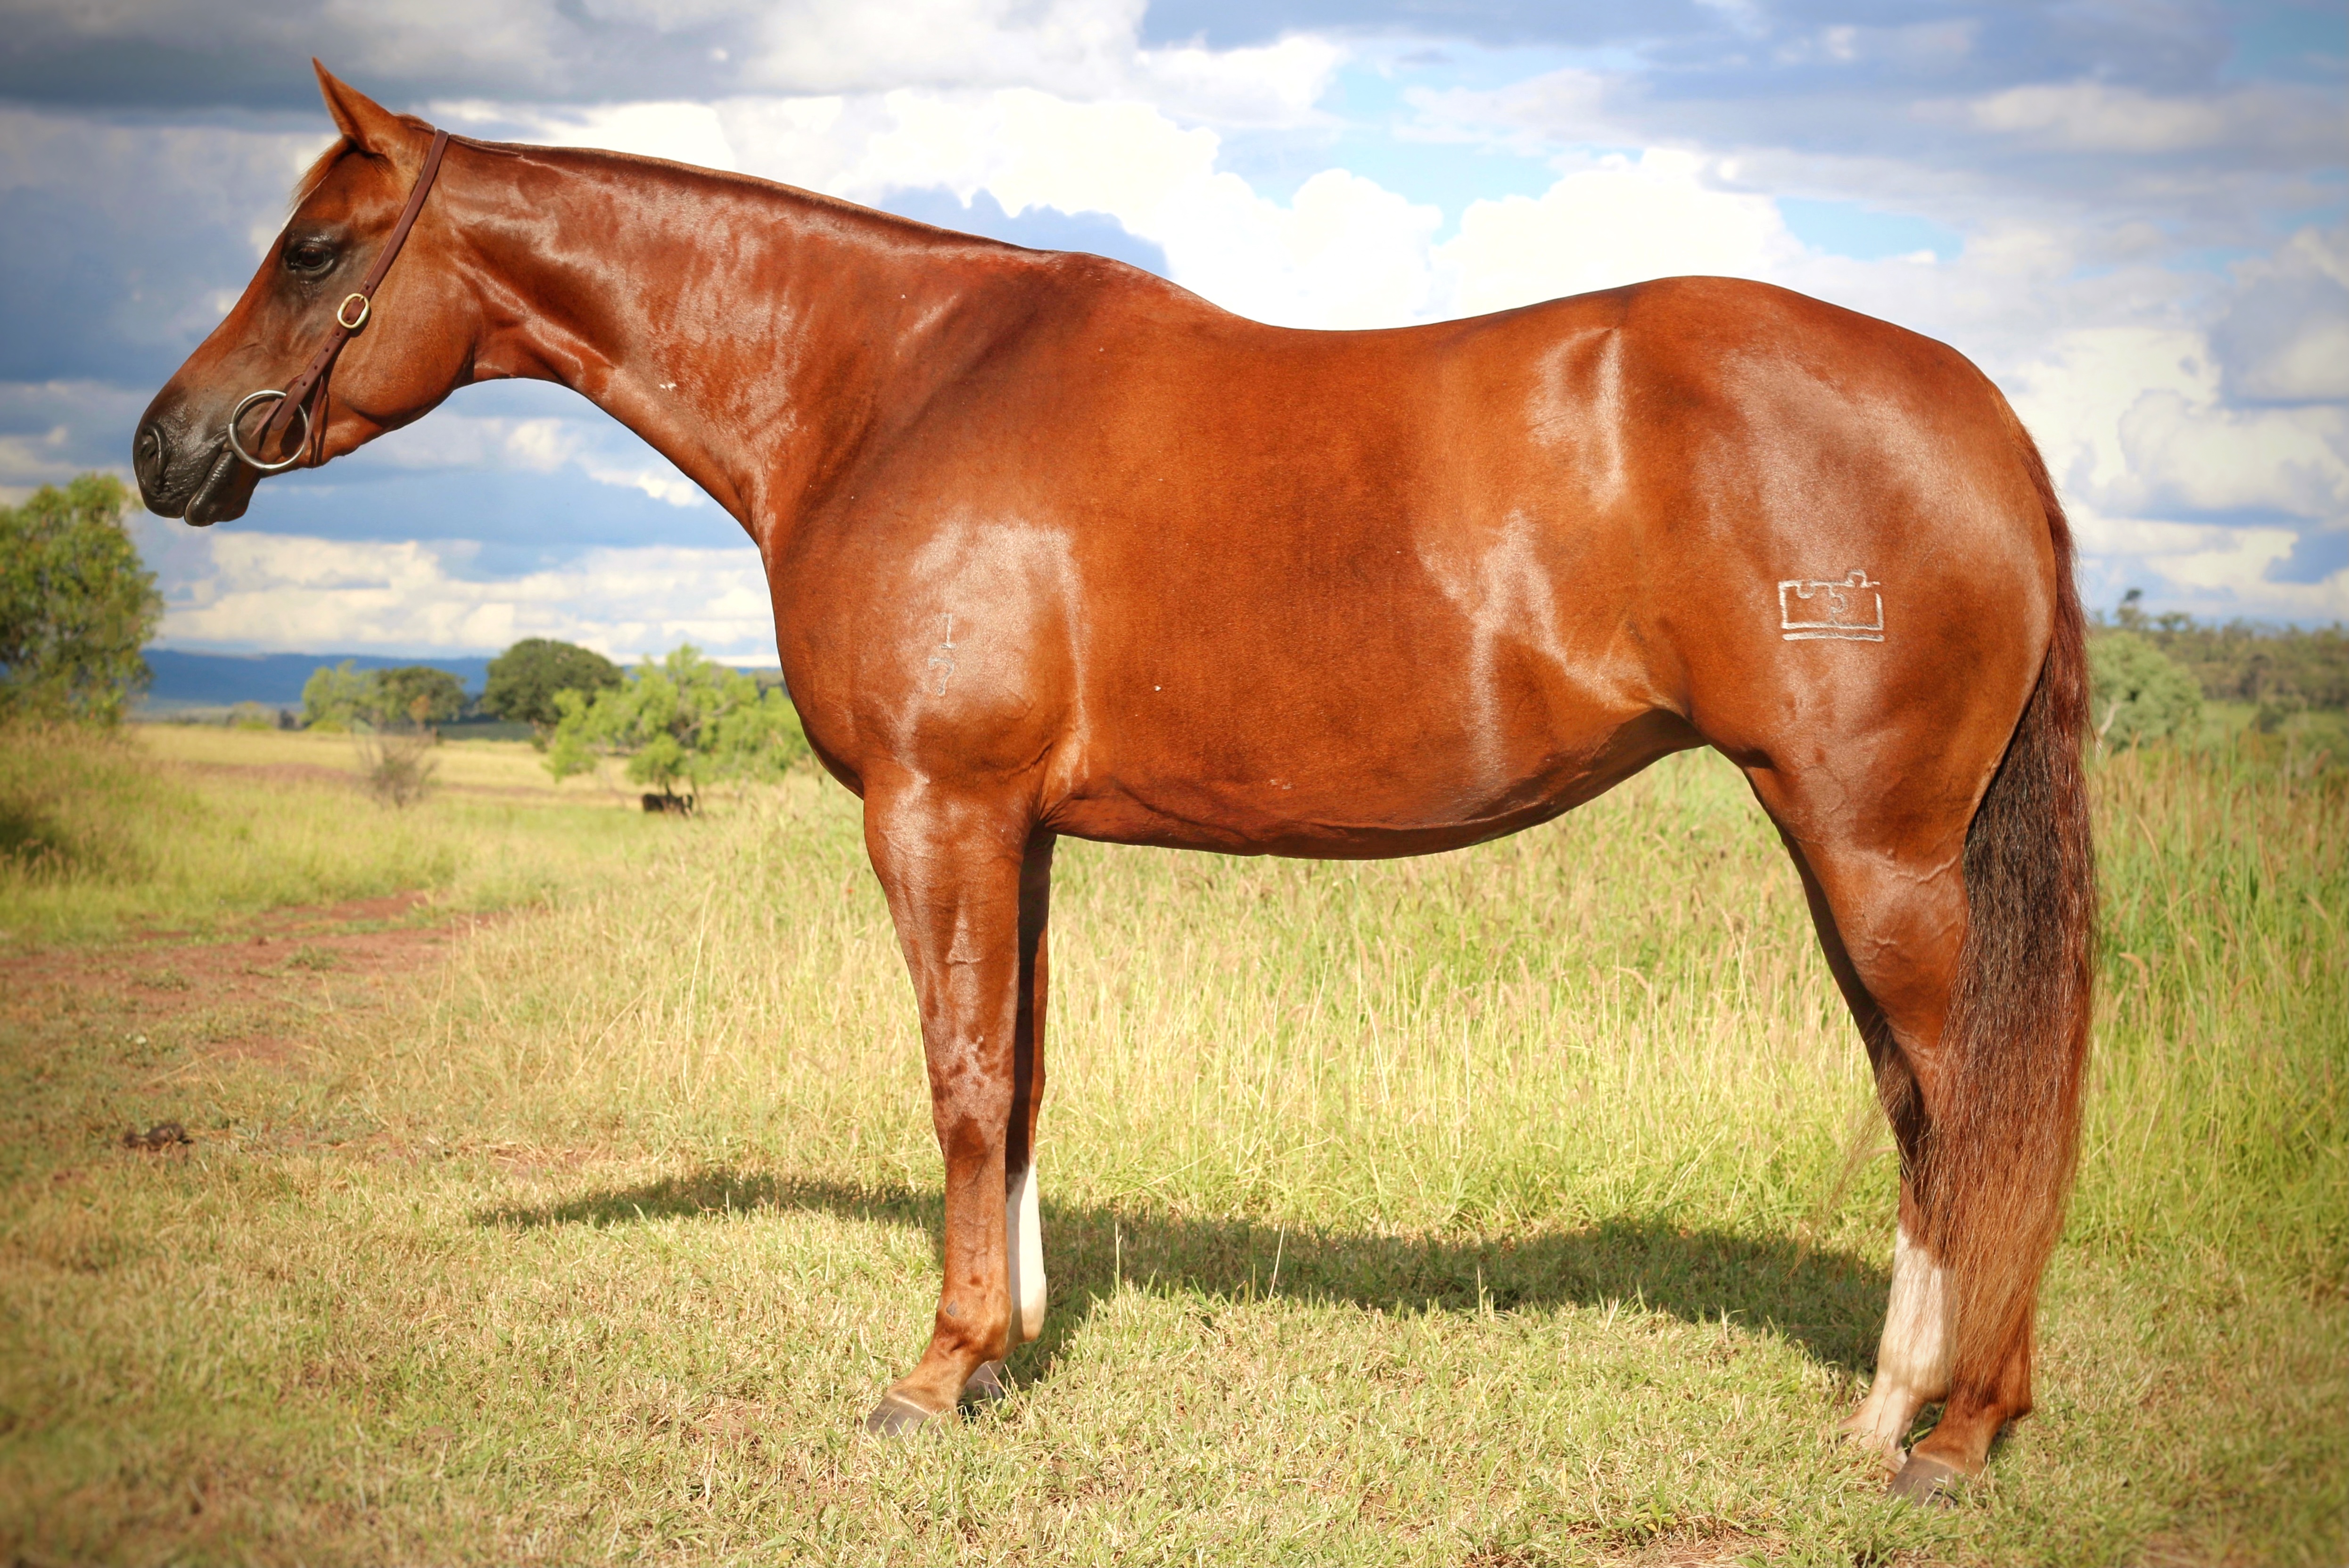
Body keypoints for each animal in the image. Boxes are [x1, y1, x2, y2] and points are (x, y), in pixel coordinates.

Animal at [135, 64, 2094, 1501]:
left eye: (313, 248)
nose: (166, 449)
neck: (884, 386)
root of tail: (1984, 414)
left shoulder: (933, 806)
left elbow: (957, 1077)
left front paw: (933, 1373)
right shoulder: (1020, 829)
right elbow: (1019, 1079)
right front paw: (1007, 1343)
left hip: (1873, 846)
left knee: (1980, 1099)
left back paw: (1962, 1430)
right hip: (1845, 848)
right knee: (1927, 1113)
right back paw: (1884, 1411)